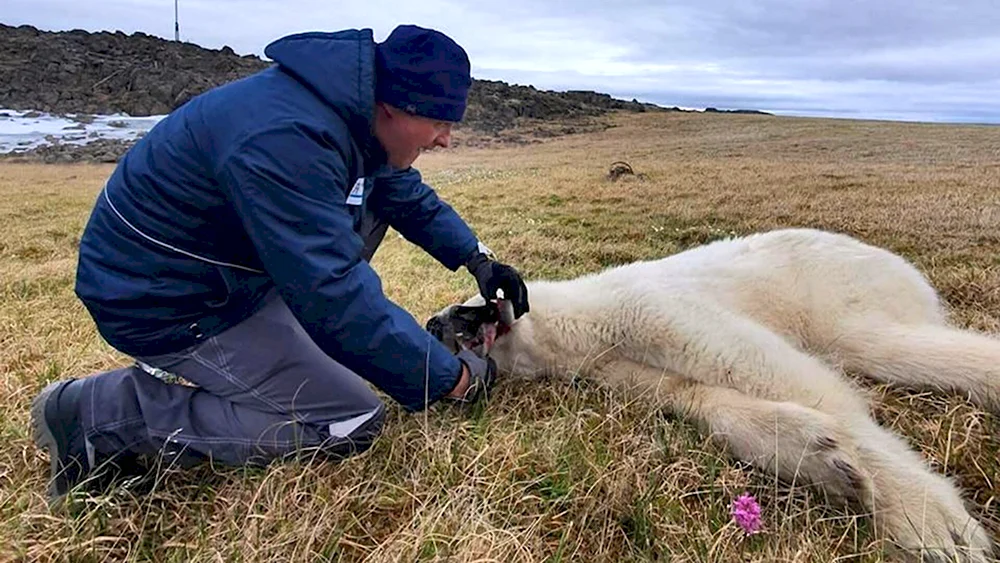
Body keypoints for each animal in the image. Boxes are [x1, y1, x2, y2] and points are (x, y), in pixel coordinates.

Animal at [426, 228, 996, 563]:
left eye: (464, 305)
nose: (434, 323)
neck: (577, 325)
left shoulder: (646, 309)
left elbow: (762, 367)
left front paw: (930, 521)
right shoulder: (616, 366)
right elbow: (696, 396)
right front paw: (824, 459)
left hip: (839, 288)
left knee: (878, 342)